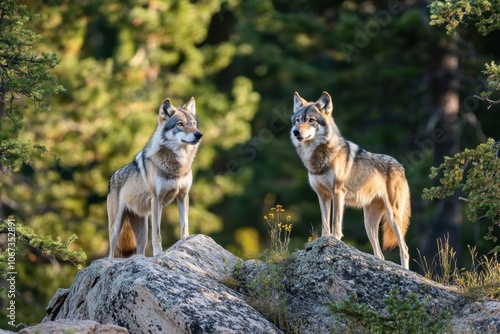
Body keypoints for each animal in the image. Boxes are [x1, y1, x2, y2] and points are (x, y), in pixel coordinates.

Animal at [108, 97, 202, 258]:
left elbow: (184, 226)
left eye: (193, 124)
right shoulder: (156, 200)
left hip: (142, 231)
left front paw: (185, 243)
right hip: (116, 226)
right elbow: (157, 234)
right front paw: (158, 254)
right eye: (180, 124)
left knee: (139, 251)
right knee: (111, 252)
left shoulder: (183, 196)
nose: (199, 134)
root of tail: (112, 178)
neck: (178, 166)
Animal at [290, 91, 410, 268]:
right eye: (298, 120)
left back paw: (405, 270)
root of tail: (401, 167)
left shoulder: (337, 192)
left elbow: (335, 222)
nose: (296, 132)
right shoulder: (322, 195)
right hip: (369, 223)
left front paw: (333, 240)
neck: (318, 159)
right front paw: (323, 240)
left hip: (393, 217)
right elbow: (325, 222)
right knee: (380, 254)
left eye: (311, 120)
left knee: (405, 249)